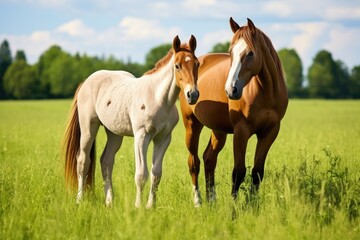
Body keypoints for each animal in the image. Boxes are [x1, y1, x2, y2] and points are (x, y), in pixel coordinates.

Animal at [62, 35, 200, 208]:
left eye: (197, 64)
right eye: (177, 66)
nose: (192, 94)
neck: (158, 99)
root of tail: (86, 82)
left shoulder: (163, 139)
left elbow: (156, 174)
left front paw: (151, 206)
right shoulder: (142, 137)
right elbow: (141, 174)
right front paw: (138, 206)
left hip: (114, 133)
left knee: (106, 161)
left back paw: (109, 201)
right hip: (88, 129)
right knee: (83, 161)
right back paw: (79, 200)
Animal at [179, 18, 286, 206]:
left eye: (250, 53)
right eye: (230, 52)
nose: (231, 90)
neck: (267, 92)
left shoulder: (270, 132)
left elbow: (257, 172)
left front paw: (253, 205)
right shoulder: (241, 131)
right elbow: (239, 172)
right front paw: (234, 207)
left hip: (218, 130)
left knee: (209, 159)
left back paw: (212, 200)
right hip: (192, 125)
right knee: (194, 162)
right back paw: (198, 202)